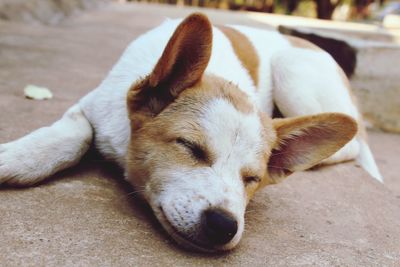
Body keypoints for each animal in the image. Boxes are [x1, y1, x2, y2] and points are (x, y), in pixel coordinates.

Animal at [0, 13, 382, 253]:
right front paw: (19, 158)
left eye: (252, 179)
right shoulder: (94, 105)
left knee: (353, 145)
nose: (224, 225)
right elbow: (74, 137)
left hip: (293, 72)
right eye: (190, 148)